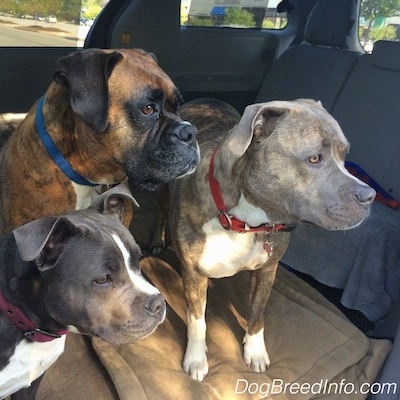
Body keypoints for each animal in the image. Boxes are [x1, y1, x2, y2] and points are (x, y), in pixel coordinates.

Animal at [168, 98, 376, 380]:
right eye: (314, 158)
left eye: (345, 157)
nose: (370, 196)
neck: (243, 222)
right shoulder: (193, 274)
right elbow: (197, 320)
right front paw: (196, 359)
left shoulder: (267, 270)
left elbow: (258, 313)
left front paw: (255, 352)